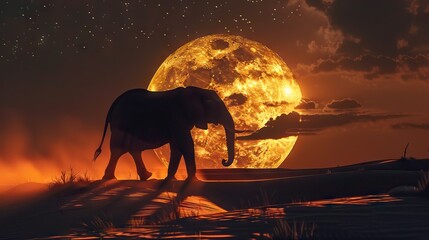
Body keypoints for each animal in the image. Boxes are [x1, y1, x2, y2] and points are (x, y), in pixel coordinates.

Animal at [93, 86, 234, 180]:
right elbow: (186, 144)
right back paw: (110, 178)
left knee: (133, 149)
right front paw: (193, 180)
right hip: (121, 122)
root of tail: (114, 103)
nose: (223, 160)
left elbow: (177, 147)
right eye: (212, 106)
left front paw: (170, 179)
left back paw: (146, 177)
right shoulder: (177, 117)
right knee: (118, 149)